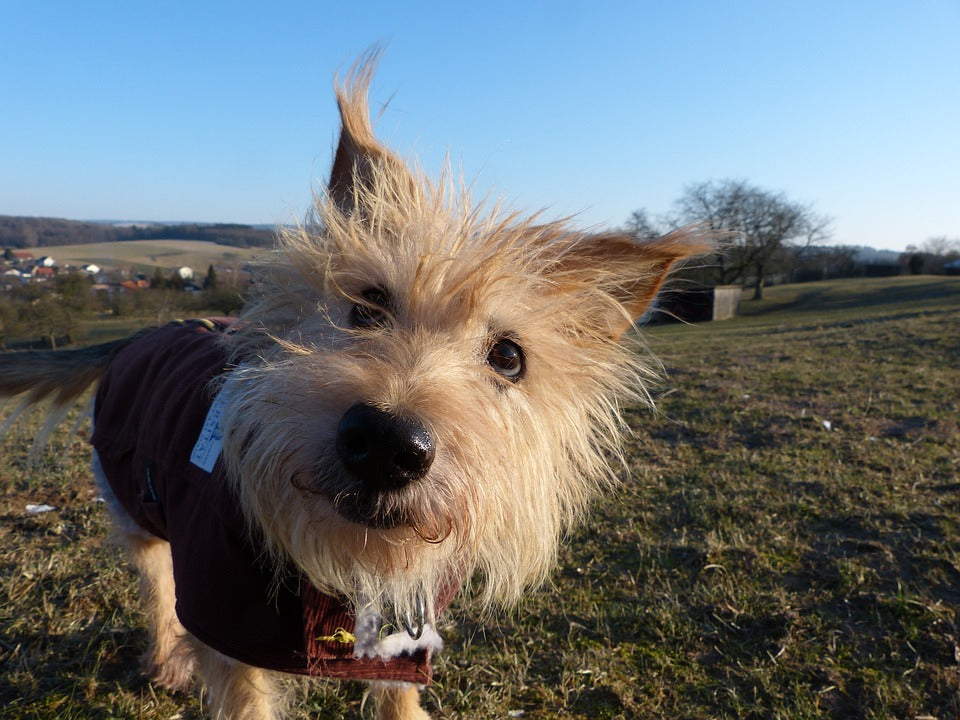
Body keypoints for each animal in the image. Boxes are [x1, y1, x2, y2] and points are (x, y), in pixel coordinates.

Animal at [0, 57, 704, 720]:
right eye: (366, 305)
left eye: (509, 357)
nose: (388, 443)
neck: (344, 569)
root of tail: (137, 335)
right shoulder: (224, 622)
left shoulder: (404, 642)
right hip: (136, 511)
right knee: (159, 591)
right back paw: (168, 658)